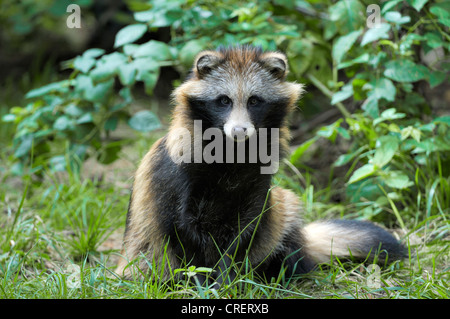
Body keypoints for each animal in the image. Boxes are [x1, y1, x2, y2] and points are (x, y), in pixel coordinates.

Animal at [115, 45, 404, 284]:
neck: (231, 149)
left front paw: (228, 279)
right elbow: (180, 230)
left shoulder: (258, 179)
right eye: (224, 100)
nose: (239, 131)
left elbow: (247, 228)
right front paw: (200, 282)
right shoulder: (175, 175)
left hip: (281, 217)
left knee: (283, 218)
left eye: (254, 101)